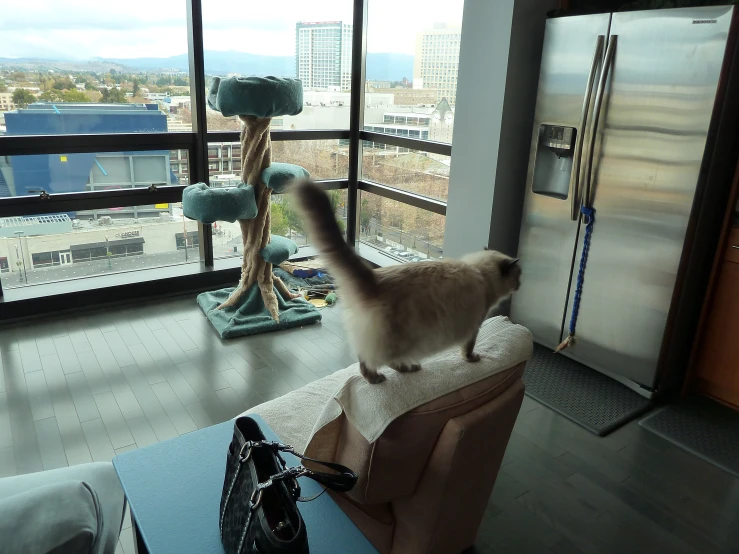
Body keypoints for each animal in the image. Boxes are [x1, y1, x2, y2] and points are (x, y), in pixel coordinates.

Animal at [294, 181, 520, 384]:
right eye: (519, 275)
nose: (520, 284)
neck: (481, 272)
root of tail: (374, 277)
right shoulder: (475, 324)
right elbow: (468, 348)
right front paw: (473, 359)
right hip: (404, 339)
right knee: (375, 360)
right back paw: (389, 375)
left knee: (367, 357)